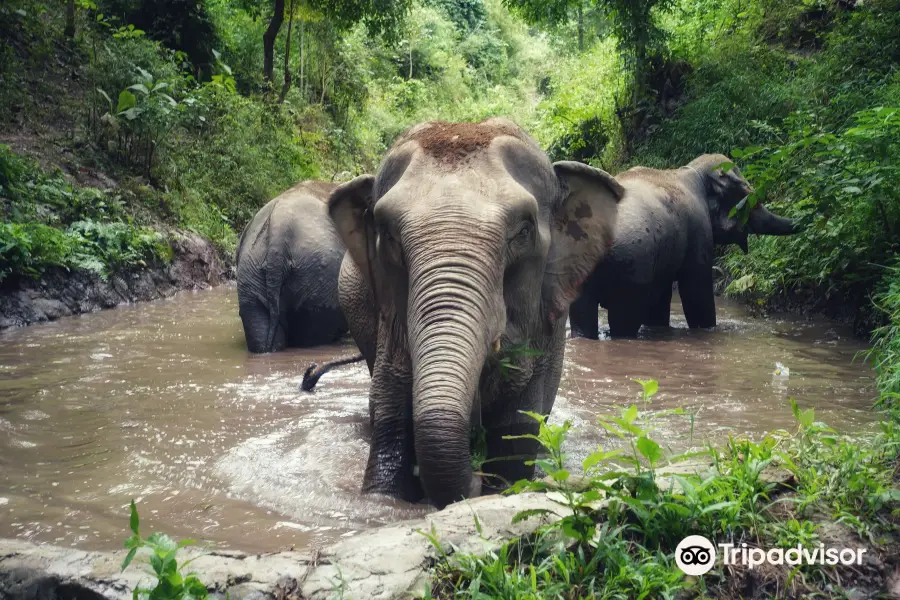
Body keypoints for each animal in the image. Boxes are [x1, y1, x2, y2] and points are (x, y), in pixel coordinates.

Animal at [326, 118, 624, 510]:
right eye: (387, 235)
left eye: (523, 231)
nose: (475, 476)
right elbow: (391, 404)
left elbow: (518, 425)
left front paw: (501, 484)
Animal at [568, 152, 800, 340]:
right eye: (746, 195)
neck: (693, 170)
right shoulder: (699, 230)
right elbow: (696, 290)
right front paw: (707, 329)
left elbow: (661, 297)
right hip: (631, 266)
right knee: (624, 320)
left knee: (582, 316)